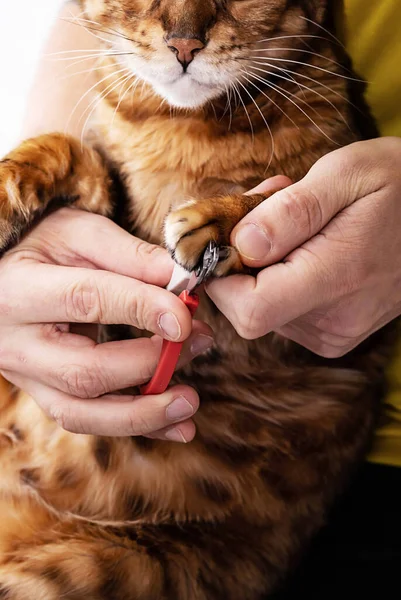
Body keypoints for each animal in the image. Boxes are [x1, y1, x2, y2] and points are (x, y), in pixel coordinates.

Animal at [0, 1, 394, 600]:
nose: (184, 45)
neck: (177, 127)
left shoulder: (288, 342)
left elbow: (273, 195)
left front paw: (220, 221)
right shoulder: (104, 200)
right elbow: (74, 150)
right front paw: (7, 187)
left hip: (101, 568)